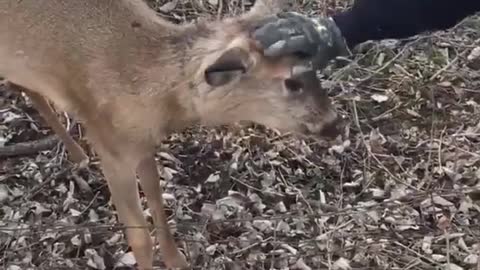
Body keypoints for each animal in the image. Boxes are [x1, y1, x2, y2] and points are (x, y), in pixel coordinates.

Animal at [0, 0, 342, 268]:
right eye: (291, 83)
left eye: (313, 67)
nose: (334, 124)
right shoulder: (111, 148)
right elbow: (138, 238)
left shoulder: (141, 143)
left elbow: (157, 200)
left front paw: (177, 260)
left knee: (22, 85)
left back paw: (77, 153)